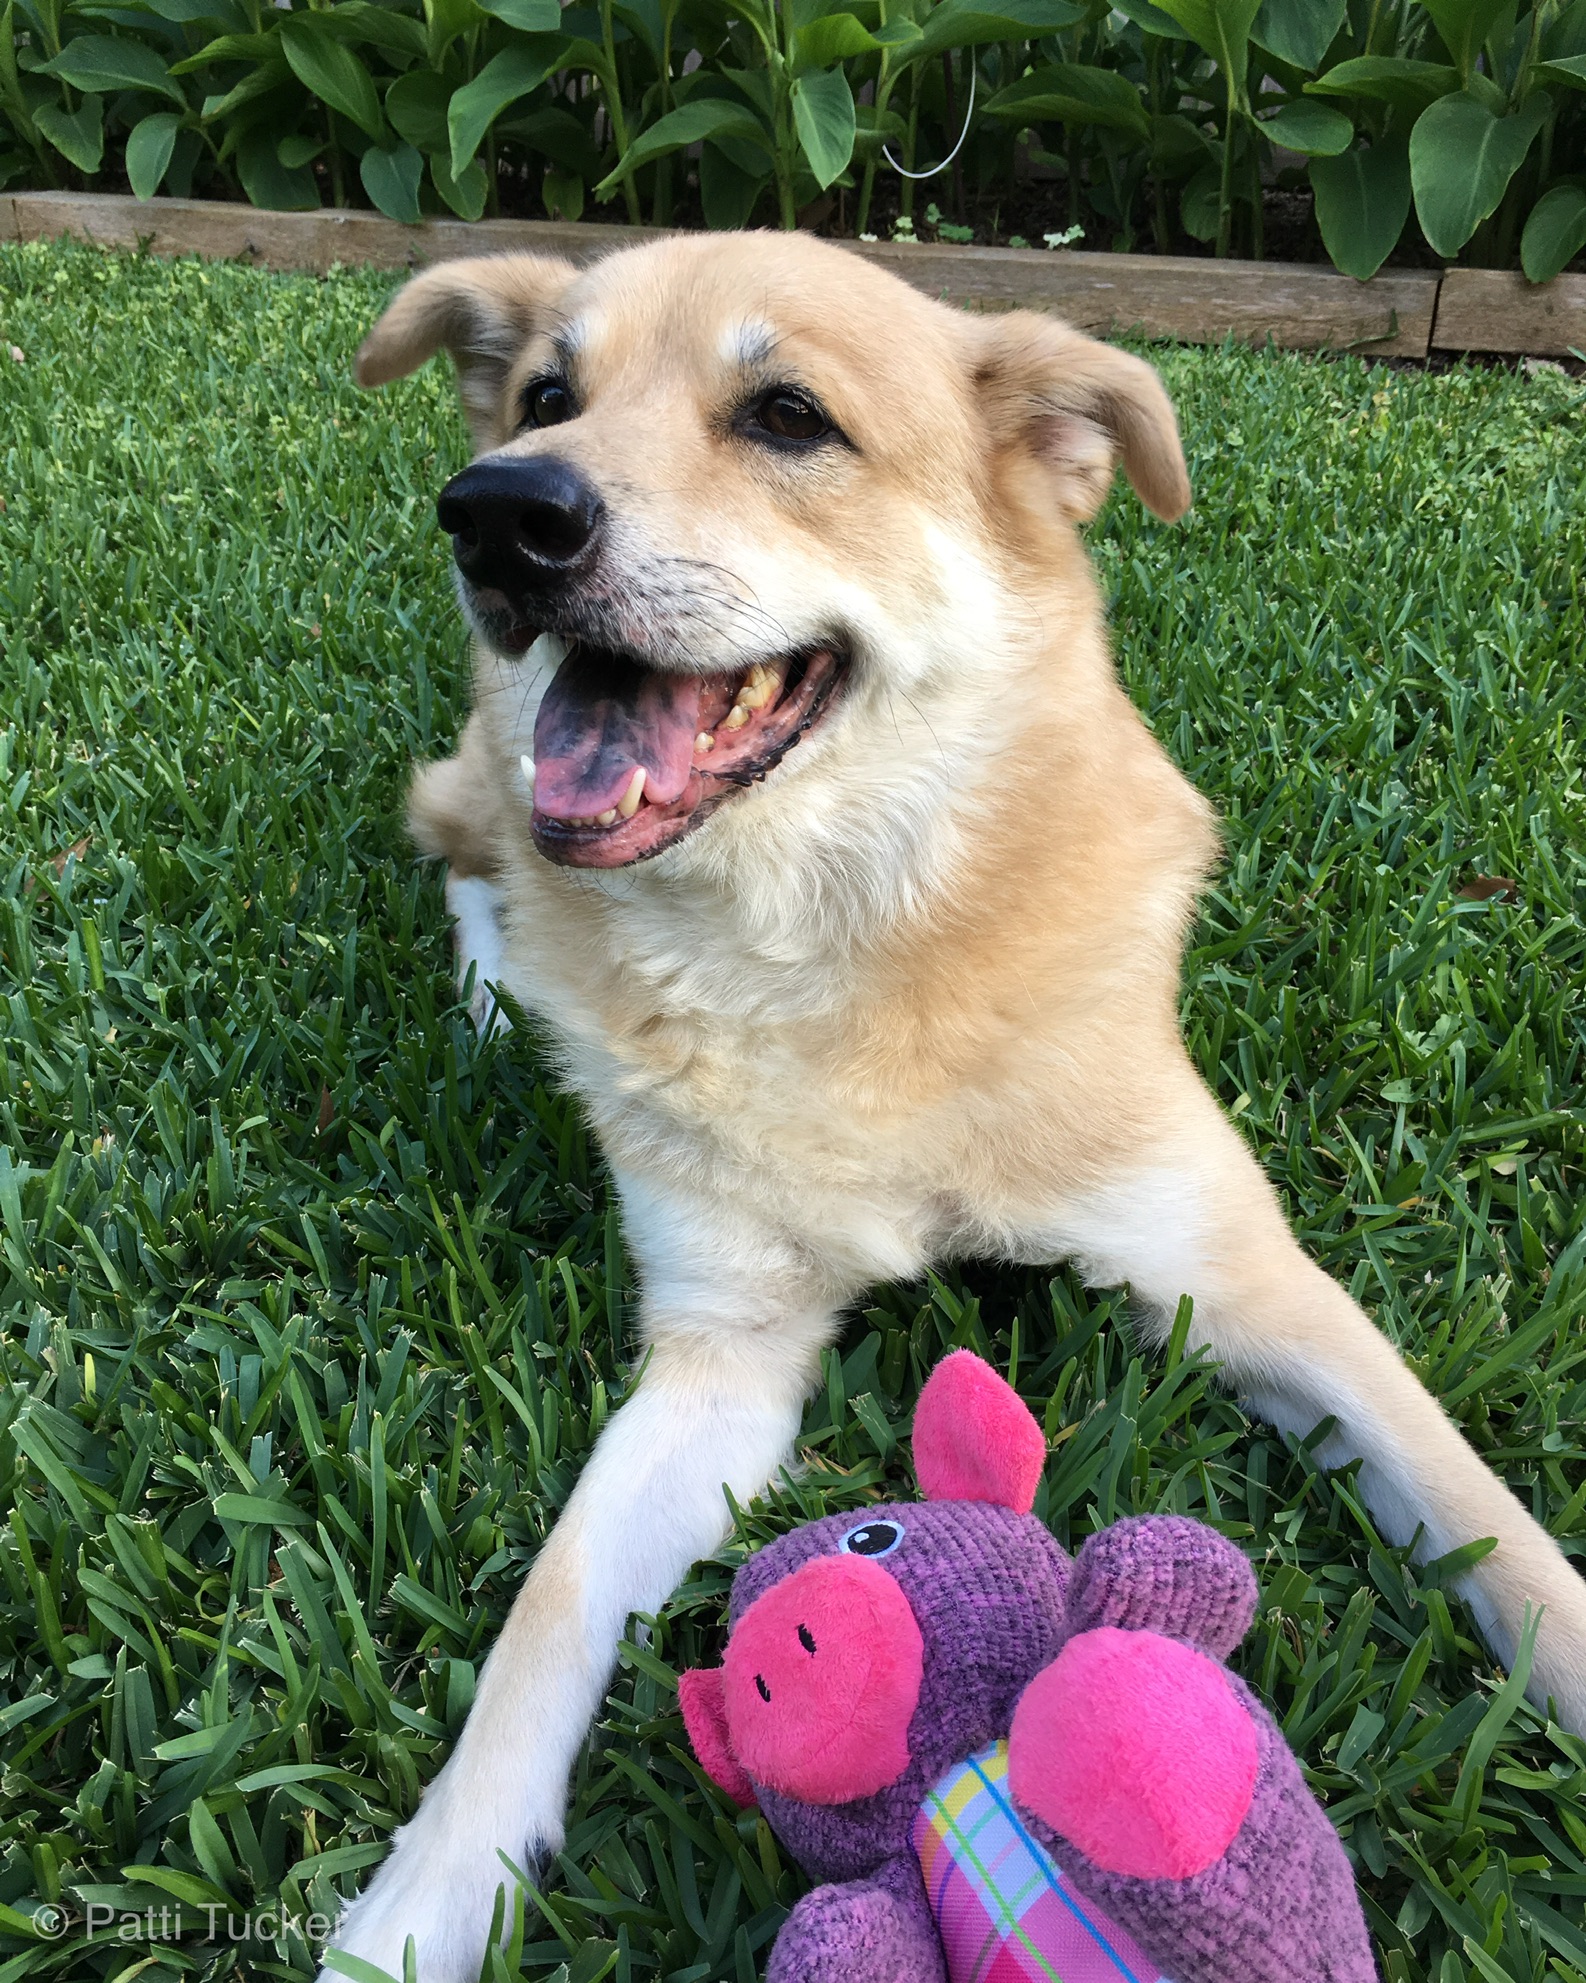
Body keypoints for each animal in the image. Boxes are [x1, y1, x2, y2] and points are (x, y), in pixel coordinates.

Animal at [329, 235, 1578, 1983]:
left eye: (788, 416)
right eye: (544, 395)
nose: (497, 508)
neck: (840, 951)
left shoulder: (1243, 1283)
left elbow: (1487, 1518)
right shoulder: (721, 1352)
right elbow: (552, 1604)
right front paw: (424, 1898)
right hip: (479, 782)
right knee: (468, 847)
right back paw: (507, 994)